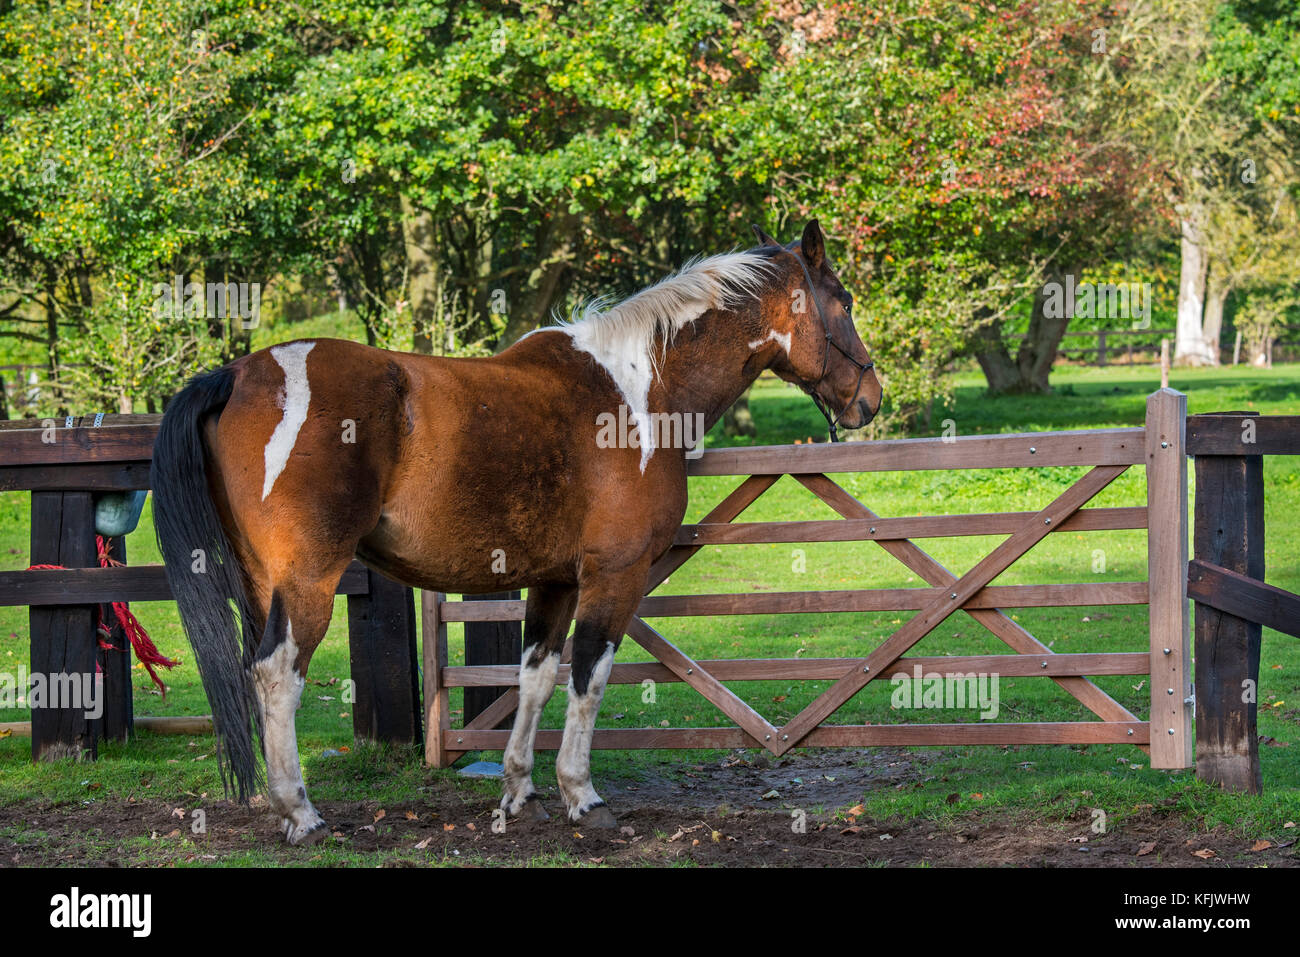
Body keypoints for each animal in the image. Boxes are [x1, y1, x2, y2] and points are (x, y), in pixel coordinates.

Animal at [152, 218, 883, 842]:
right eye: (843, 302)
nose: (870, 398)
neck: (640, 390)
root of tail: (239, 372)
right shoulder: (614, 575)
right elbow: (589, 675)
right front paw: (582, 794)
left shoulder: (556, 582)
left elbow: (535, 676)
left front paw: (520, 791)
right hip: (309, 581)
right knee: (278, 674)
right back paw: (301, 812)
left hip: (261, 584)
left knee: (258, 673)